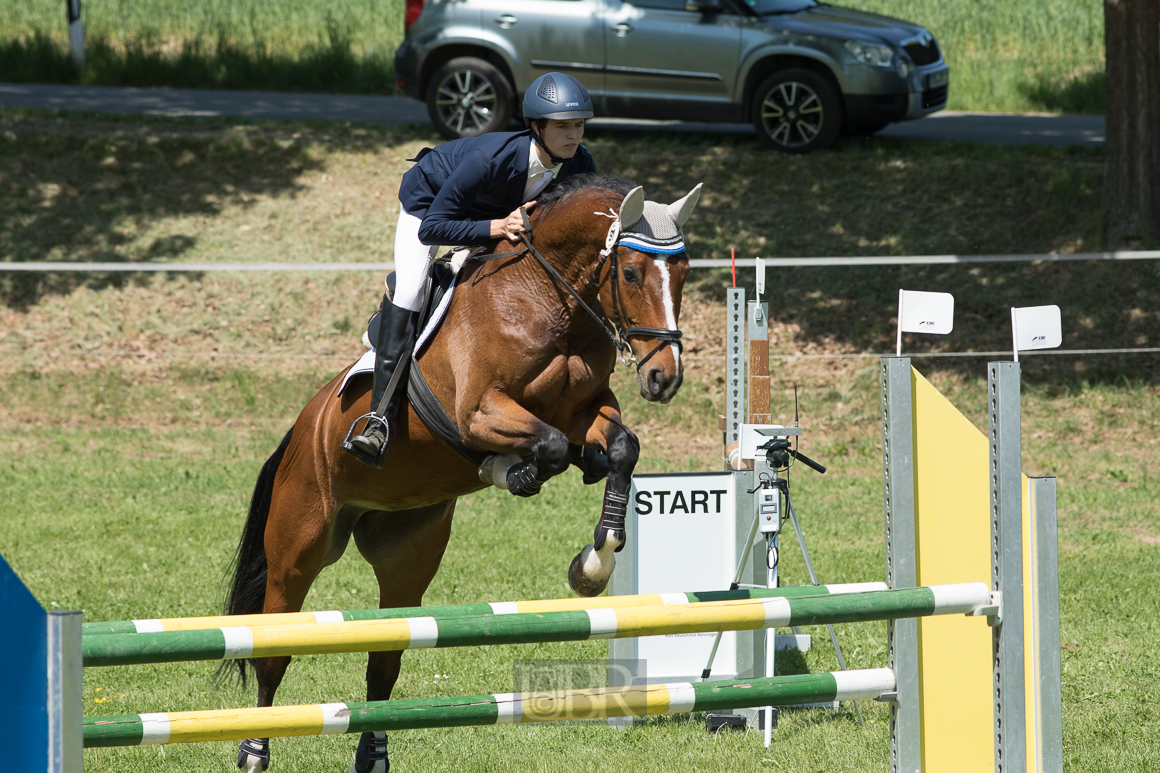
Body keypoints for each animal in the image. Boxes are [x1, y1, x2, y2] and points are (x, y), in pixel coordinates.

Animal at [222, 176, 700, 770]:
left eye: (685, 273)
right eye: (631, 273)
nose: (664, 377)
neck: (548, 301)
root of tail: (298, 432)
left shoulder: (585, 410)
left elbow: (619, 450)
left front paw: (593, 564)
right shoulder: (478, 412)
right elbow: (548, 446)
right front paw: (517, 474)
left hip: (407, 557)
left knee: (384, 663)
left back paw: (373, 755)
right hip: (298, 548)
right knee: (274, 651)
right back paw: (254, 751)